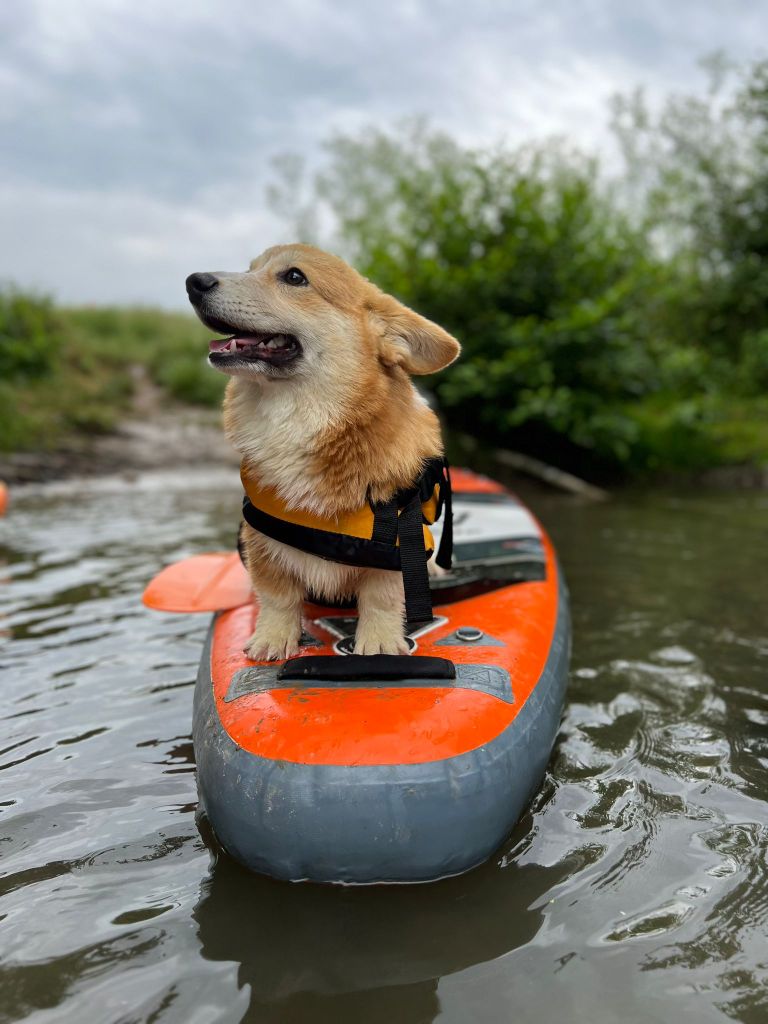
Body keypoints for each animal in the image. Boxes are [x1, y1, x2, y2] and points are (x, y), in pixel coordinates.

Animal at [186, 248, 460, 663]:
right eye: (250, 269)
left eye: (294, 277)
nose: (194, 281)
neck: (299, 418)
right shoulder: (263, 543)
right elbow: (277, 596)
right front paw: (273, 638)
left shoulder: (396, 547)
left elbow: (382, 598)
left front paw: (378, 644)